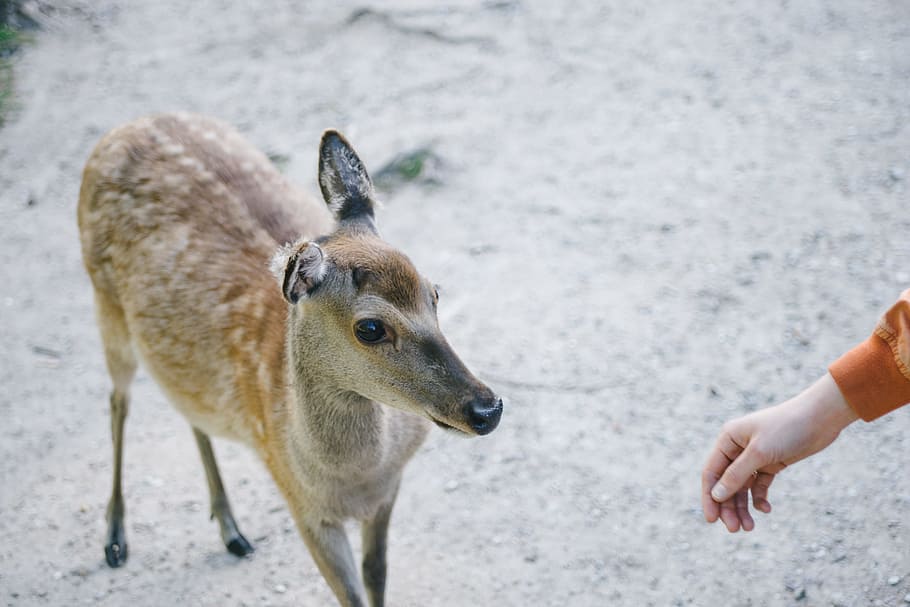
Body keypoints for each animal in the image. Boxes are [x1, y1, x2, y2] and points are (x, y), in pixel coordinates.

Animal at [77, 112, 503, 607]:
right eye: (370, 328)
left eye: (434, 293)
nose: (488, 408)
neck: (353, 481)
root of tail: (129, 125)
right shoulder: (299, 502)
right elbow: (351, 594)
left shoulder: (387, 493)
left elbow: (376, 576)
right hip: (106, 308)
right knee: (118, 401)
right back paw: (115, 538)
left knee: (187, 407)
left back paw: (231, 530)